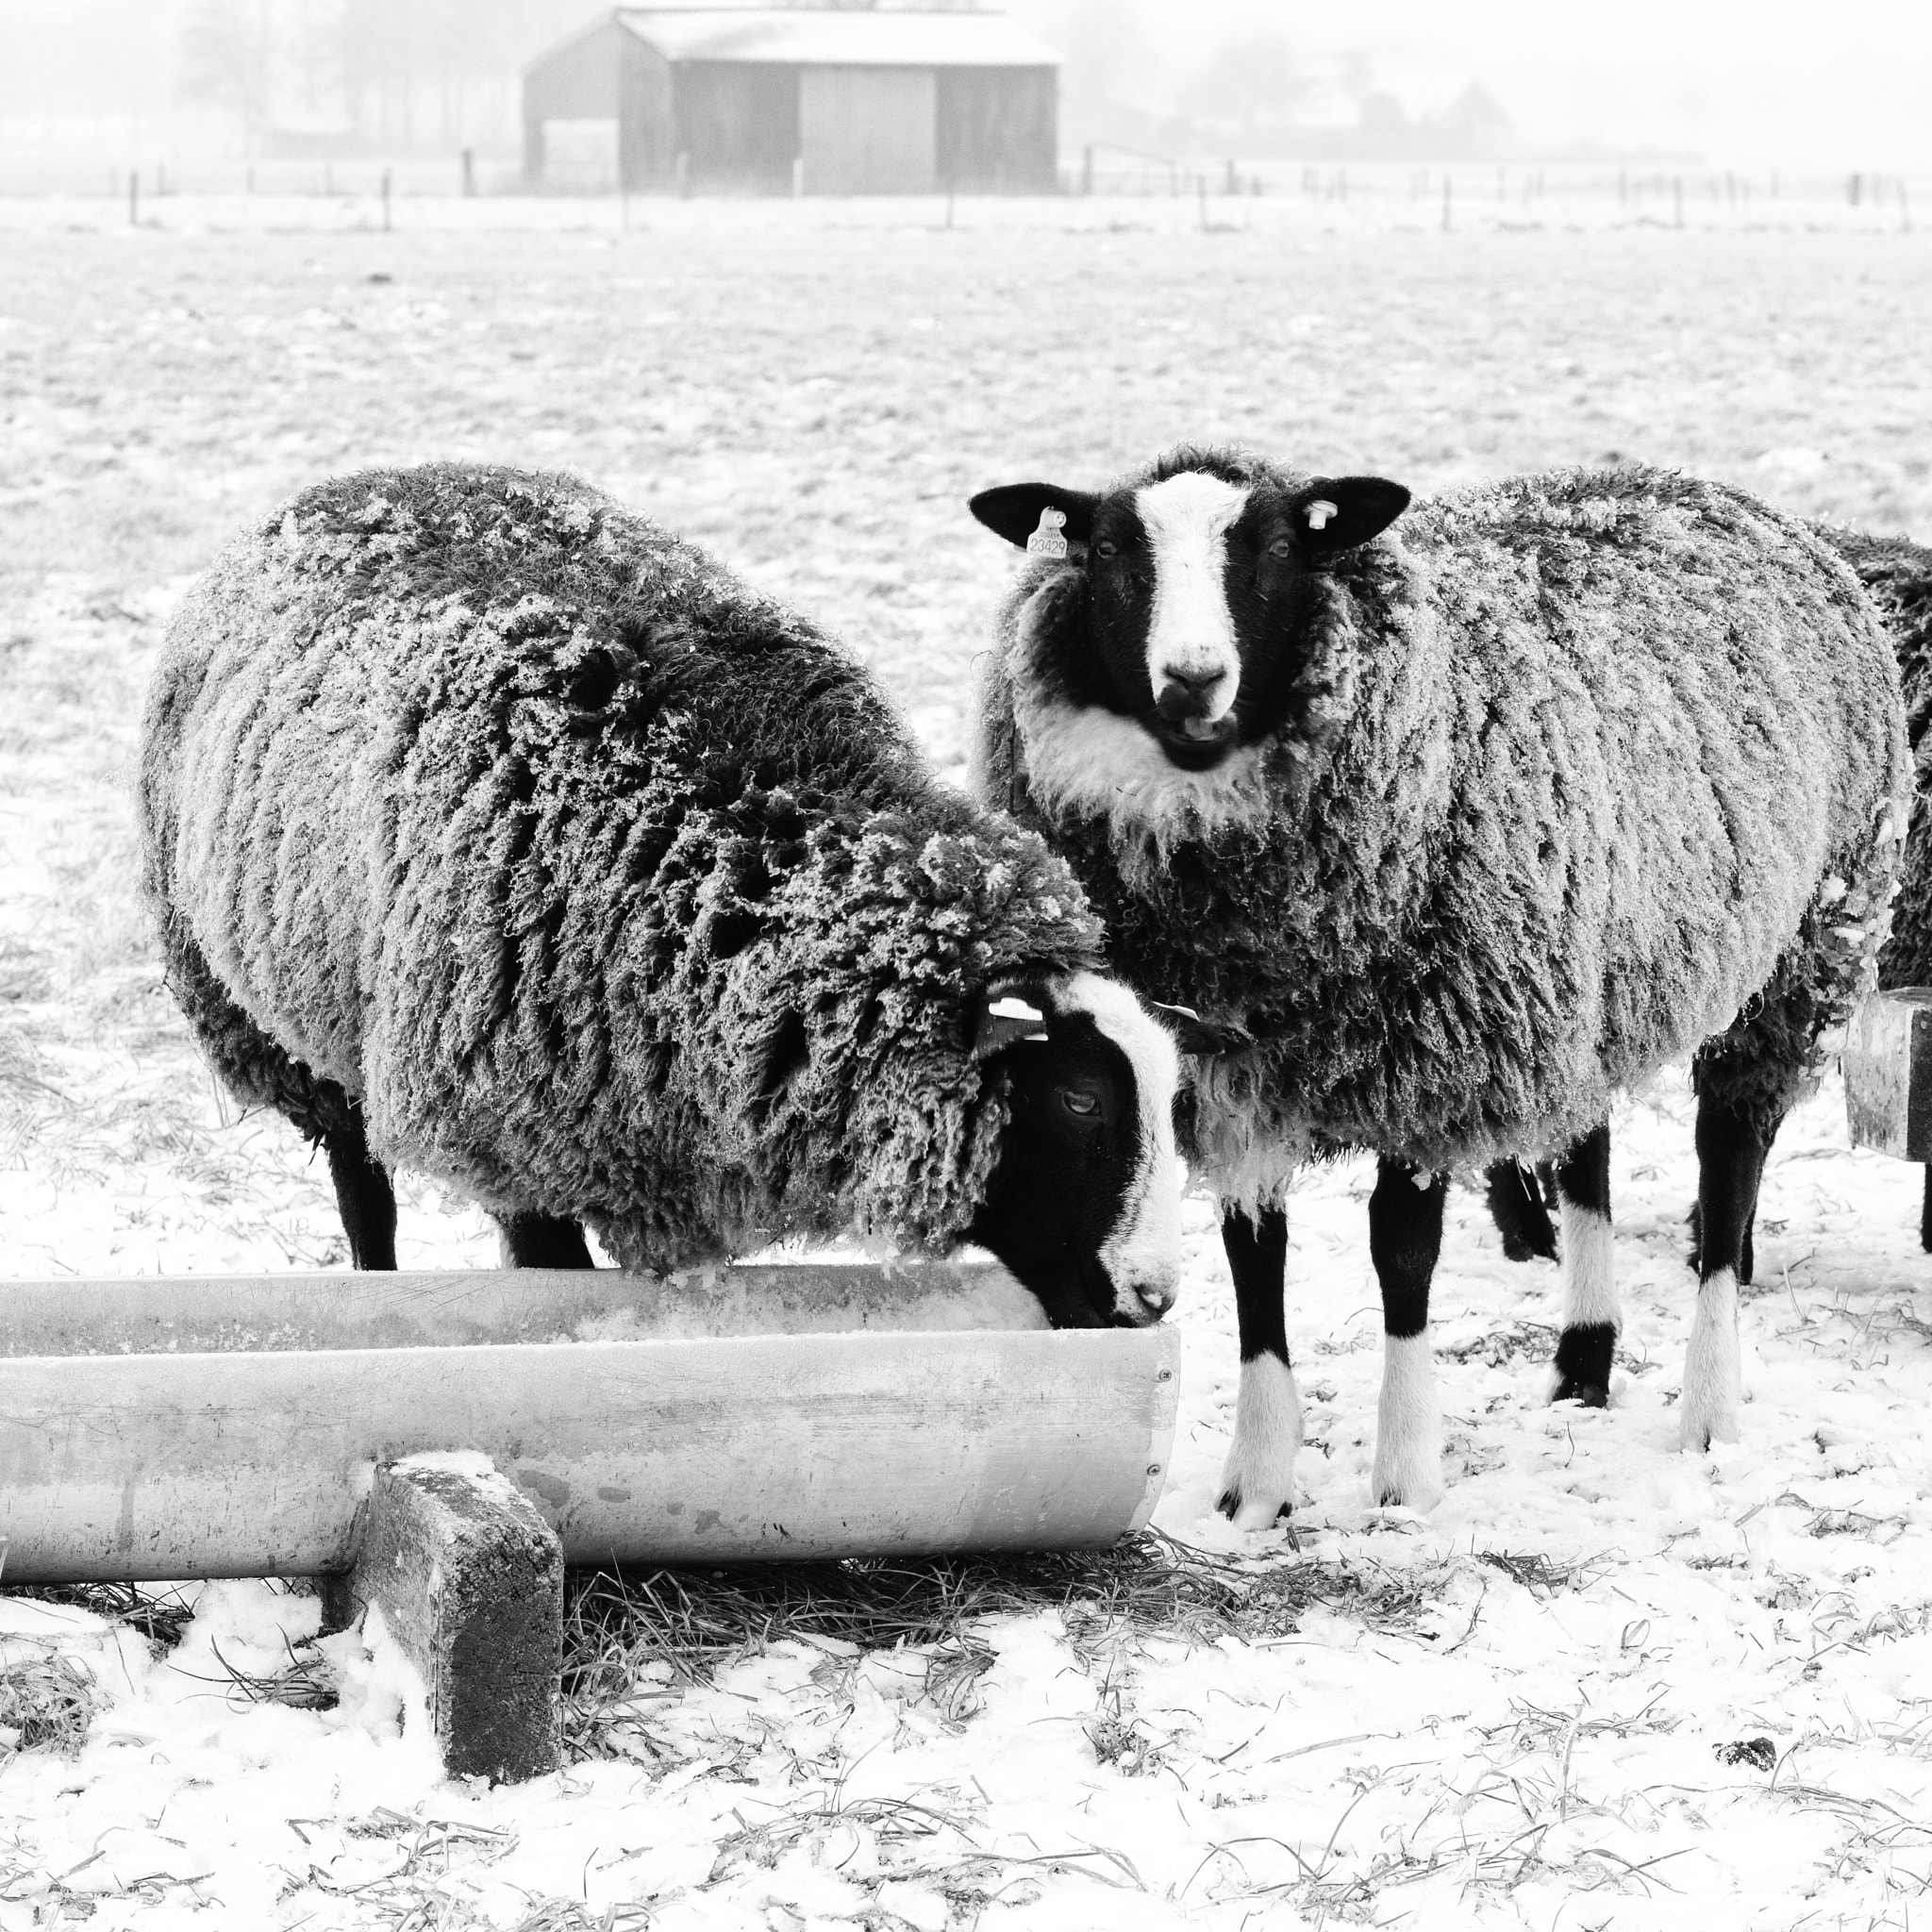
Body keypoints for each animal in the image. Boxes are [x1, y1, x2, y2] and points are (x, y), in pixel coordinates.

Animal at [136, 467, 1182, 1329]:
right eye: (1081, 1100)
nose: (1152, 1298)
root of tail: (350, 480)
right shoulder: (509, 1134)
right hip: (280, 1020)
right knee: (364, 1191)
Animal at [974, 444, 1908, 1514]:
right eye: (1109, 551)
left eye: (1280, 547)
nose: (1192, 680)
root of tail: (1707, 489)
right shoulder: (1227, 1078)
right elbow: (1255, 1257)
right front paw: (1257, 1481)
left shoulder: (1430, 1061)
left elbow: (1401, 1249)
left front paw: (1405, 1471)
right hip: (1580, 976)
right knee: (1586, 1151)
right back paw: (1584, 1358)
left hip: (1797, 956)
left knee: (1728, 1172)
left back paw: (1709, 1409)